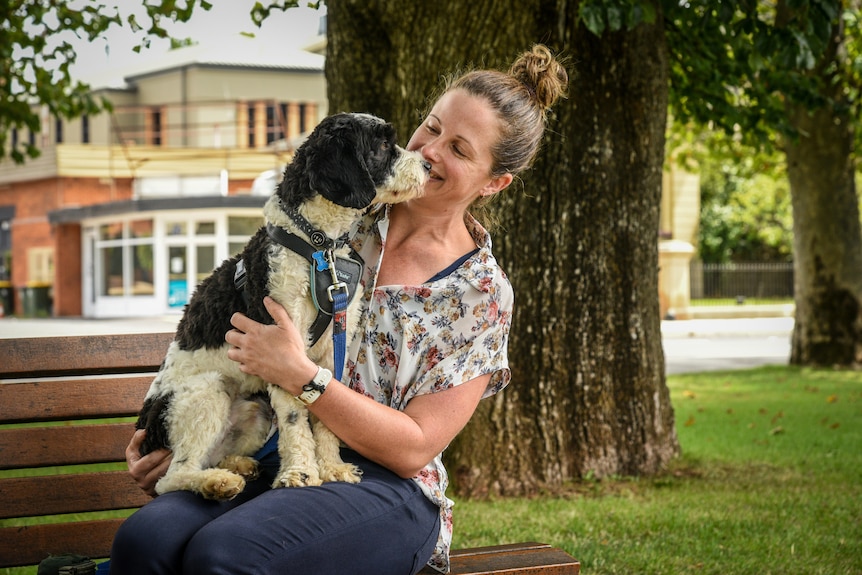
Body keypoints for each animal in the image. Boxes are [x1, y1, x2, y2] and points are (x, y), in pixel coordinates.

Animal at [137, 112, 430, 500]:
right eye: (383, 145)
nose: (428, 165)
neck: (318, 246)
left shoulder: (328, 352)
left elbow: (326, 416)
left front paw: (332, 467)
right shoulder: (279, 346)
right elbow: (294, 421)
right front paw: (300, 473)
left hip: (255, 410)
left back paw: (235, 466)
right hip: (206, 391)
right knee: (171, 477)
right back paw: (217, 483)